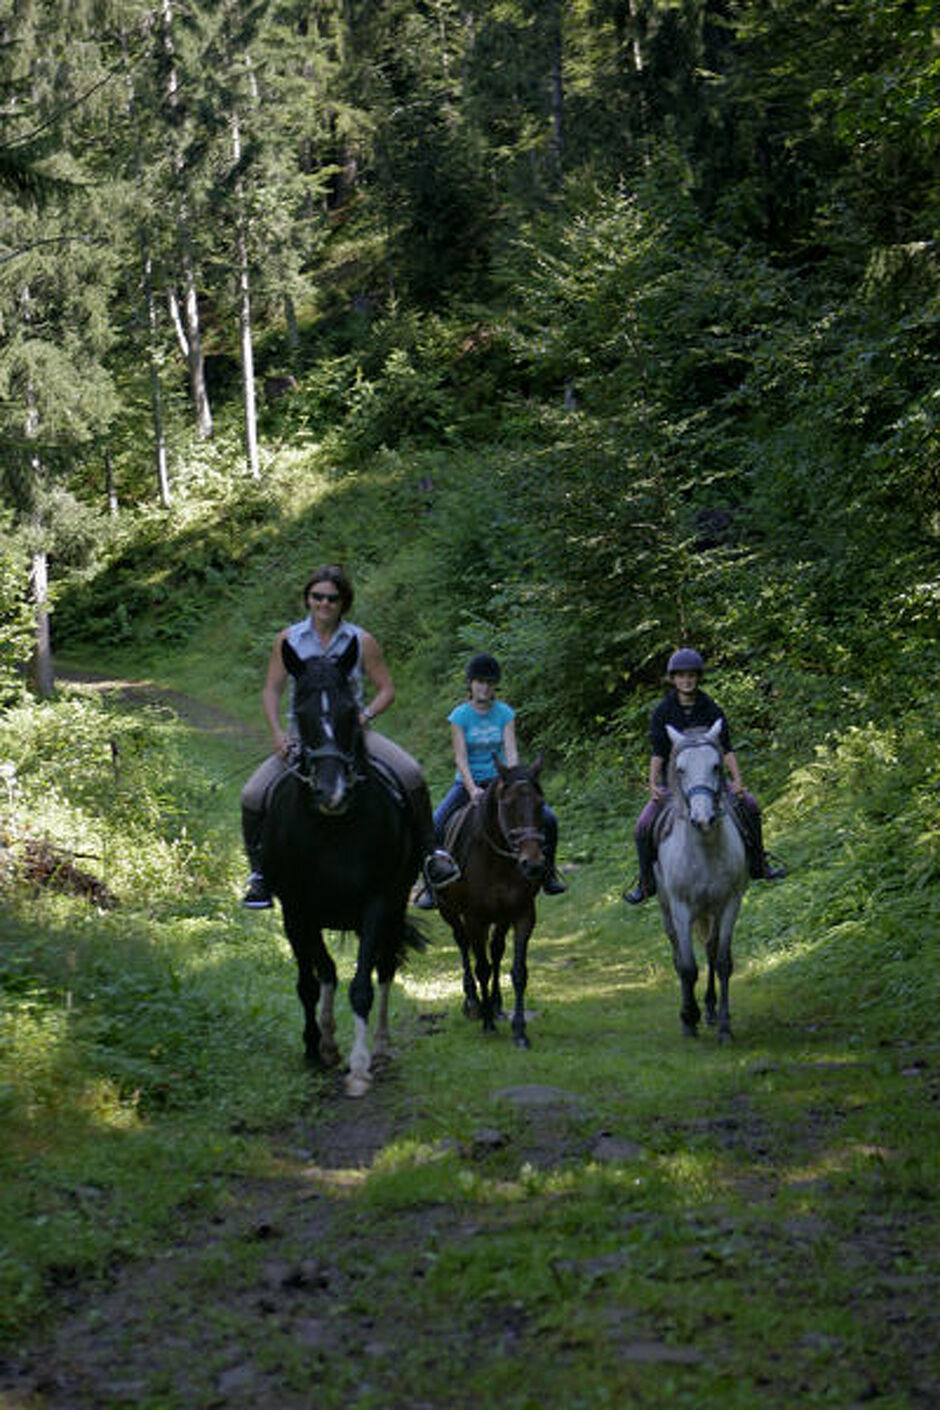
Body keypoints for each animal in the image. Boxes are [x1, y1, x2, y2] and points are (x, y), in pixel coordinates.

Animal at [260, 642, 422, 1099]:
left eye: (352, 712)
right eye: (301, 712)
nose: (331, 793)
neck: (331, 829)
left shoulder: (377, 905)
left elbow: (362, 986)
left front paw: (360, 1068)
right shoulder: (297, 910)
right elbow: (313, 980)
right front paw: (318, 1047)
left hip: (396, 909)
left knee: (385, 969)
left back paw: (381, 1047)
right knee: (328, 972)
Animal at [436, 761, 546, 1049]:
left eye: (540, 803)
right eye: (507, 804)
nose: (533, 864)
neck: (498, 862)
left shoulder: (522, 914)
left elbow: (518, 972)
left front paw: (519, 1031)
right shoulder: (475, 919)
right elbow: (482, 968)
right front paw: (487, 1023)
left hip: (500, 919)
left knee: (496, 951)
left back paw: (495, 1004)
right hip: (450, 912)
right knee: (463, 944)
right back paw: (474, 1002)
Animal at [653, 721, 749, 1043]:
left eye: (716, 766)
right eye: (680, 769)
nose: (703, 819)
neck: (705, 850)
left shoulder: (730, 904)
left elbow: (721, 962)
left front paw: (724, 1026)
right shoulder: (681, 909)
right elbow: (687, 967)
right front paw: (688, 1019)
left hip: (711, 913)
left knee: (709, 949)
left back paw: (710, 1010)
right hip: (667, 908)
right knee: (677, 954)